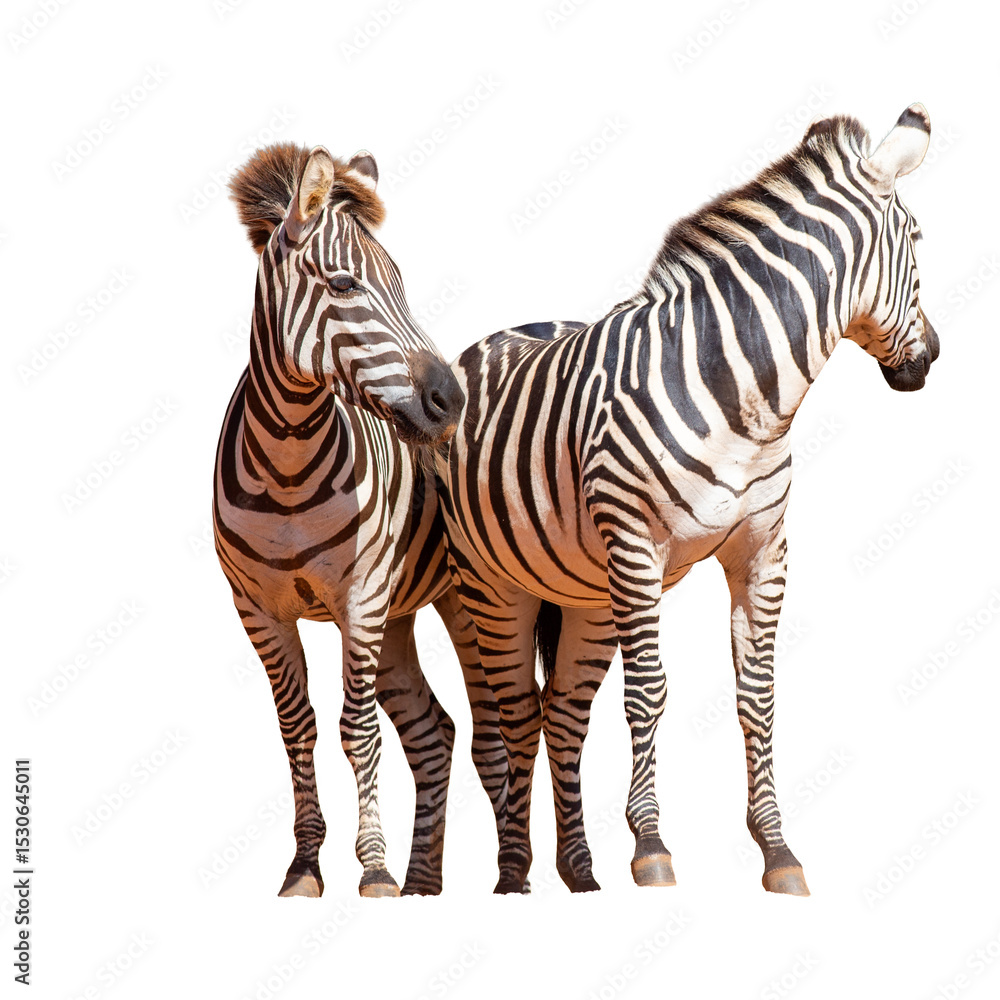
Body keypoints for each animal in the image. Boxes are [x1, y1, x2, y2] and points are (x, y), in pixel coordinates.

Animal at [213, 142, 508, 898]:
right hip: (399, 616)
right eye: (344, 285)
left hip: (459, 602)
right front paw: (306, 865)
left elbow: (358, 730)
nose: (449, 400)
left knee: (494, 733)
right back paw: (425, 881)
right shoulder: (258, 610)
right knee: (434, 732)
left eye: (400, 284)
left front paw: (372, 868)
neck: (287, 467)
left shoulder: (360, 599)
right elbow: (300, 729)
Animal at [435, 105, 939, 896]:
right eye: (918, 240)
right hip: (492, 583)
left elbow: (756, 695)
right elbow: (649, 693)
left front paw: (777, 850)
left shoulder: (763, 552)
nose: (934, 356)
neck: (745, 392)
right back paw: (514, 872)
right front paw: (651, 846)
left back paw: (578, 871)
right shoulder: (637, 549)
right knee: (513, 714)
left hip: (584, 593)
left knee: (562, 714)